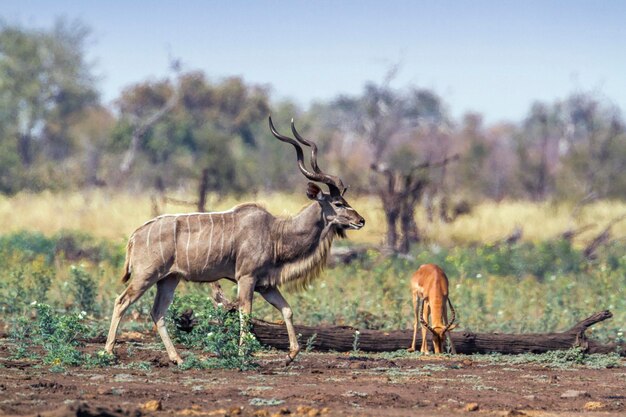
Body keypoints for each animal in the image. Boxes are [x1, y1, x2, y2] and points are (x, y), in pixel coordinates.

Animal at [105, 117, 364, 364]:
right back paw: (108, 352)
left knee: (157, 312)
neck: (276, 234)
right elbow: (246, 313)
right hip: (146, 276)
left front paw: (291, 355)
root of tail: (134, 236)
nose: (360, 221)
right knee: (121, 301)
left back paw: (177, 358)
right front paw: (243, 355)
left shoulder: (266, 285)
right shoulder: (246, 278)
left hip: (169, 279)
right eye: (338, 203)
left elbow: (287, 310)